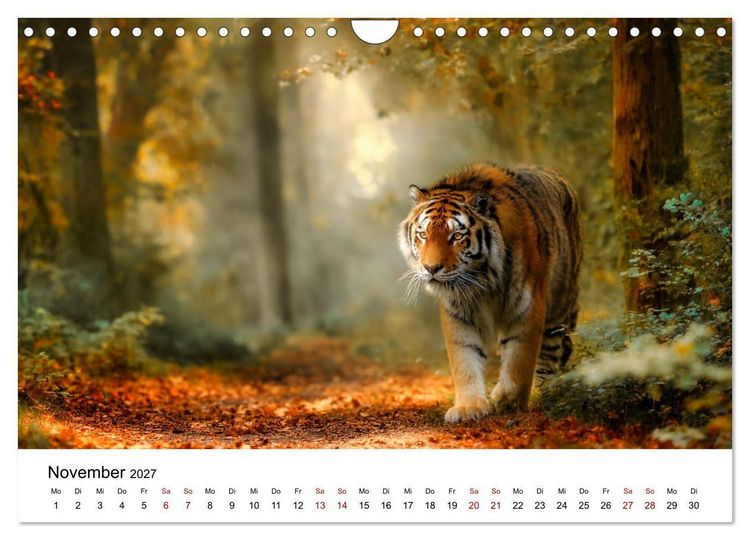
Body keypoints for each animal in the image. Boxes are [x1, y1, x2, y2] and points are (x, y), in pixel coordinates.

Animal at [398, 163, 582, 423]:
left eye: (456, 236)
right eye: (423, 234)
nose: (431, 268)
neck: (481, 279)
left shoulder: (528, 306)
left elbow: (520, 357)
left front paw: (508, 401)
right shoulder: (458, 313)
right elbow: (464, 359)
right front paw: (468, 407)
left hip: (561, 302)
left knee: (551, 348)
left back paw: (545, 391)